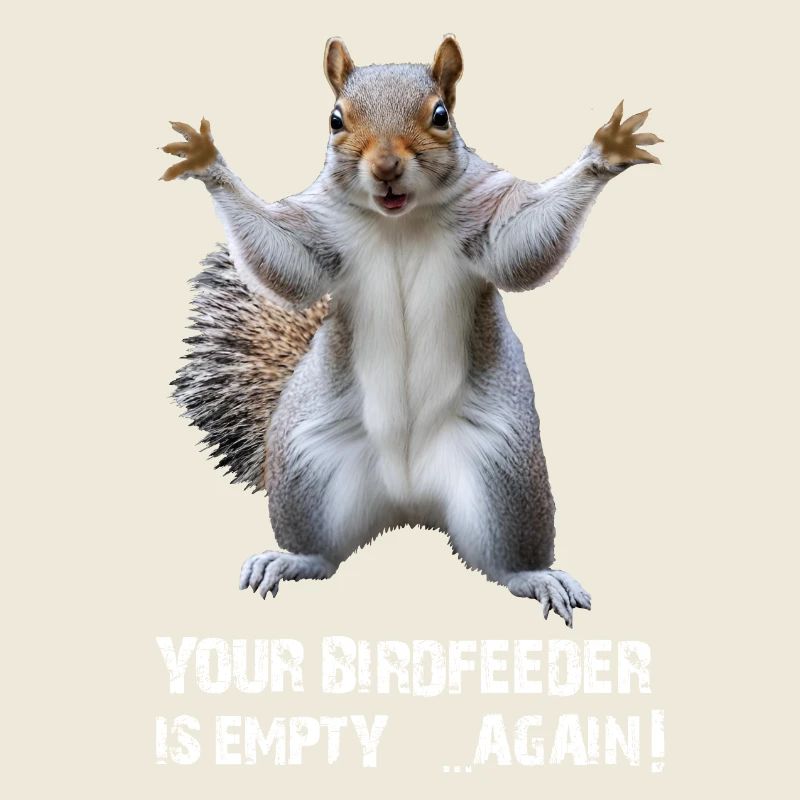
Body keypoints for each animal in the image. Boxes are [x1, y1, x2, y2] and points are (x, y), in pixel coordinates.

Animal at [163, 35, 661, 626]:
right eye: (335, 119)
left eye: (441, 115)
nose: (385, 167)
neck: (399, 219)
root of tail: (407, 500)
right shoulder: (320, 230)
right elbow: (290, 263)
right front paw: (206, 162)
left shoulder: (489, 217)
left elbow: (521, 246)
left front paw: (608, 152)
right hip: (307, 466)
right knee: (322, 552)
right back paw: (291, 559)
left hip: (505, 475)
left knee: (504, 559)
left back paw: (535, 575)